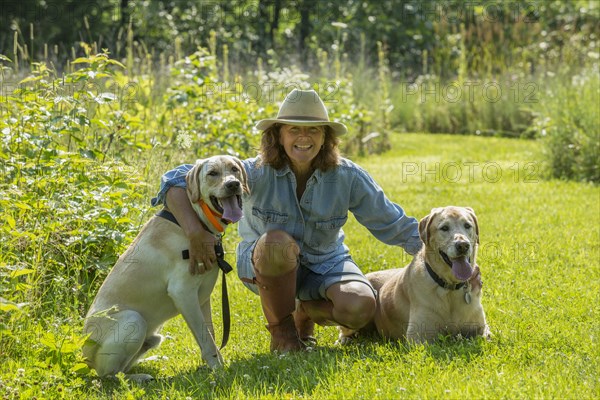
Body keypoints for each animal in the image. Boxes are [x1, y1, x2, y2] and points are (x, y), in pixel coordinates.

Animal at [83, 154, 247, 382]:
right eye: (212, 173)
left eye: (234, 169)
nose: (233, 184)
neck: (198, 219)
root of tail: (84, 358)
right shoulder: (183, 293)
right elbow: (207, 341)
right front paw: (219, 370)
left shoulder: (202, 298)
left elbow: (210, 335)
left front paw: (216, 365)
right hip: (134, 320)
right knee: (109, 374)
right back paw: (139, 378)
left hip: (153, 338)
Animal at [340, 206, 490, 344]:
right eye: (444, 228)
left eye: (467, 225)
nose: (463, 245)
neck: (449, 288)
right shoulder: (418, 338)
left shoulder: (482, 330)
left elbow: (483, 336)